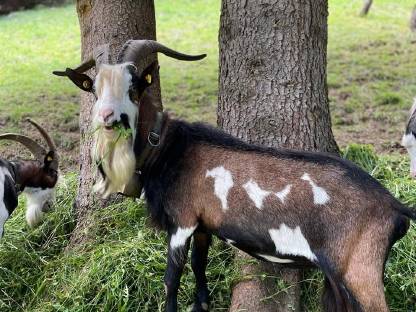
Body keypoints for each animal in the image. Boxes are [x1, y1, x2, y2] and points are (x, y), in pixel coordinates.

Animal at [56, 39, 416, 312]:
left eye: (133, 87)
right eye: (94, 88)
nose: (106, 116)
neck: (168, 148)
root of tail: (395, 207)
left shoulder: (182, 222)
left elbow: (172, 277)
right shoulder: (203, 224)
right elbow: (199, 265)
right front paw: (201, 305)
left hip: (361, 271)